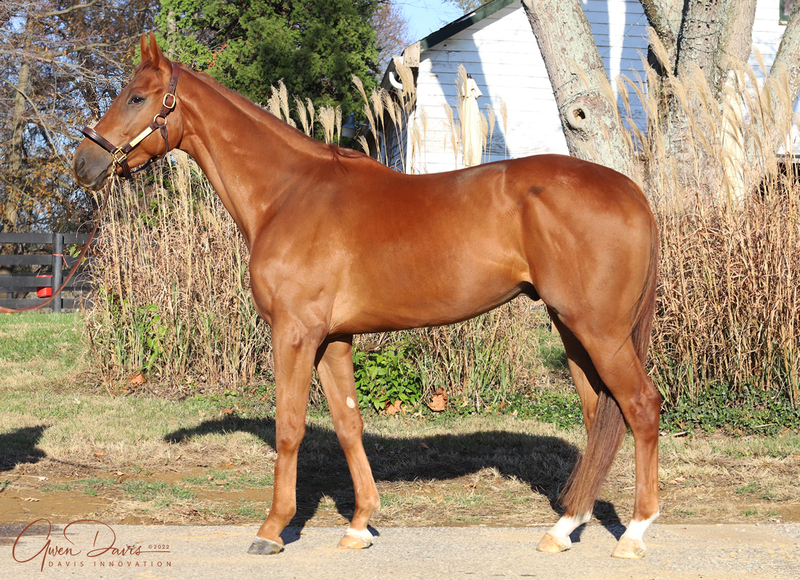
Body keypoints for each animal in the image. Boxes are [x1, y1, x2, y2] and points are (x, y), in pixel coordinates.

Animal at [75, 35, 660, 556]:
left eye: (136, 97)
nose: (83, 163)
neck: (288, 193)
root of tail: (631, 192)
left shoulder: (294, 333)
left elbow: (290, 427)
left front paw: (272, 529)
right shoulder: (333, 338)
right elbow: (348, 424)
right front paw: (359, 525)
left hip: (600, 331)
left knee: (640, 406)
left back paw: (633, 534)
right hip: (573, 330)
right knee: (599, 416)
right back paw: (564, 528)